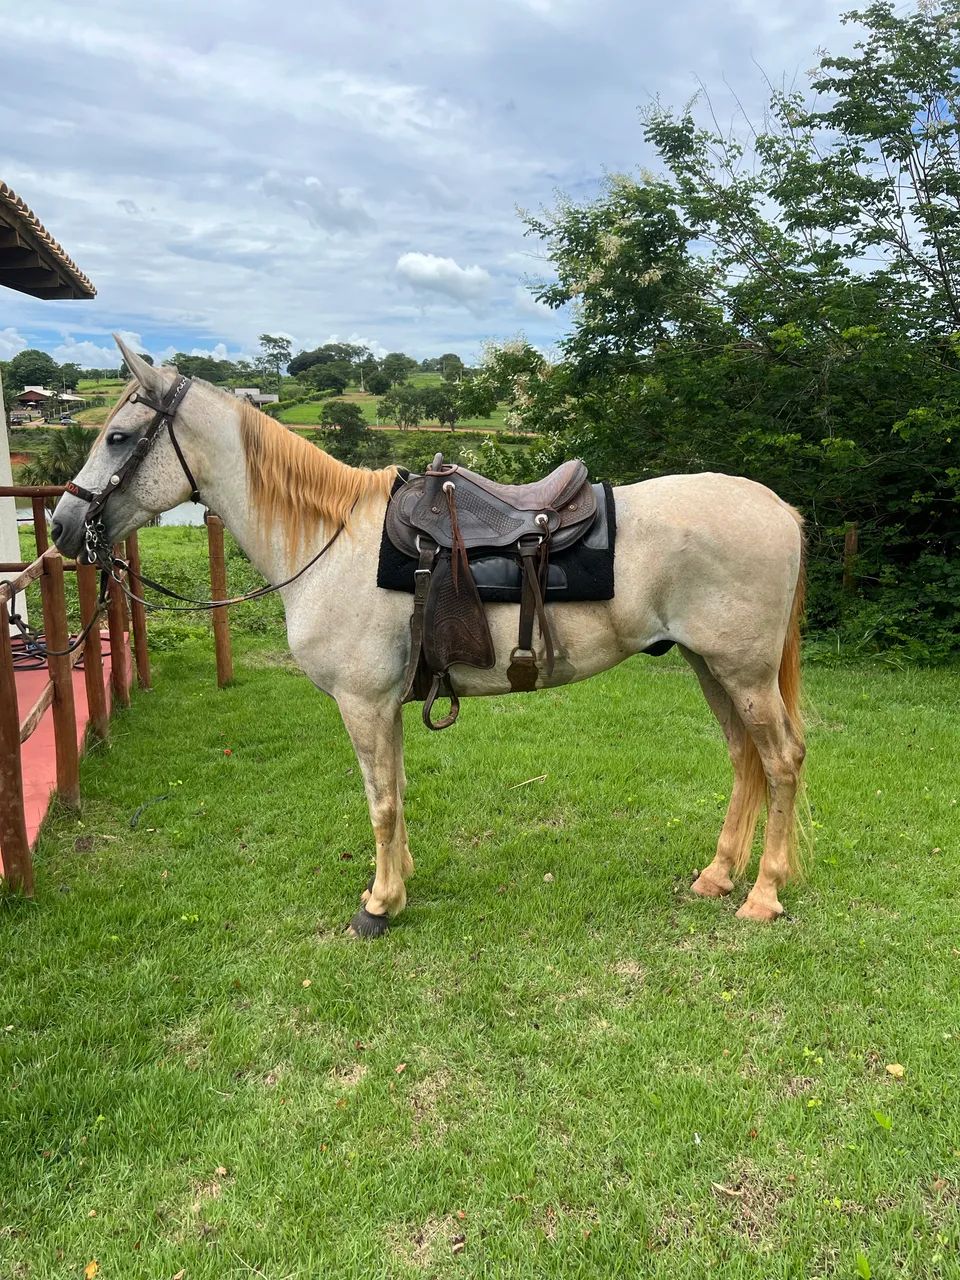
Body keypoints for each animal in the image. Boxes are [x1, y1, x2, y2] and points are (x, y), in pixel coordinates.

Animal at [52, 337, 807, 937]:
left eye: (118, 437)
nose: (61, 526)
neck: (331, 541)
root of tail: (778, 508)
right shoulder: (385, 704)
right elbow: (398, 788)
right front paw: (397, 880)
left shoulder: (362, 703)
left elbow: (380, 800)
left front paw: (379, 906)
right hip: (711, 666)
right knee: (744, 760)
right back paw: (717, 876)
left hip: (742, 671)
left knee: (781, 762)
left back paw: (763, 895)